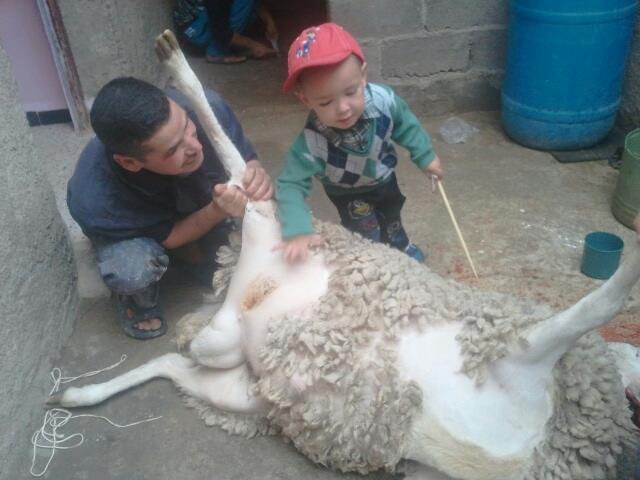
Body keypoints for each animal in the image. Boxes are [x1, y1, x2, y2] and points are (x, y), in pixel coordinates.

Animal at [48, 31, 640, 480]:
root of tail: (241, 288)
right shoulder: (523, 350)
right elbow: (602, 302)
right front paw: (633, 260)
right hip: (263, 221)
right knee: (232, 158)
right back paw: (173, 60)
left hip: (241, 379)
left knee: (175, 361)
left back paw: (75, 397)